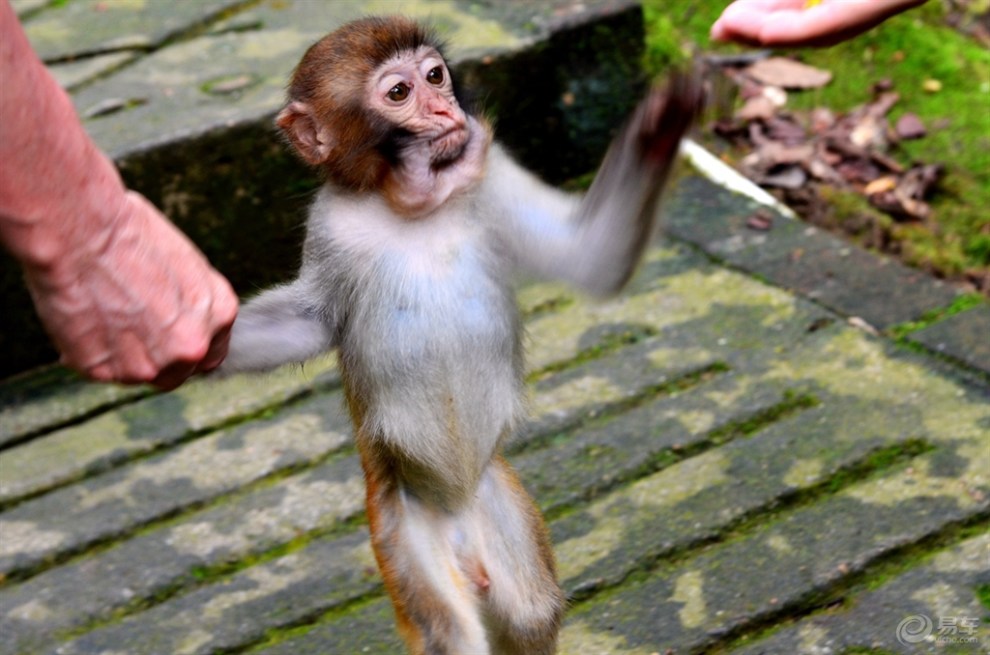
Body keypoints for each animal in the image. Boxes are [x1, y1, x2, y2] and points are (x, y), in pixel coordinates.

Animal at [223, 15, 704, 655]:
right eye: (399, 92)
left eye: (435, 76)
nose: (446, 110)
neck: (411, 209)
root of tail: (459, 524)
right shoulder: (330, 230)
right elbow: (303, 326)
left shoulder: (491, 176)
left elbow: (590, 260)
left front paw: (662, 125)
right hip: (403, 531)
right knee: (450, 631)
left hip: (499, 505)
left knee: (530, 612)